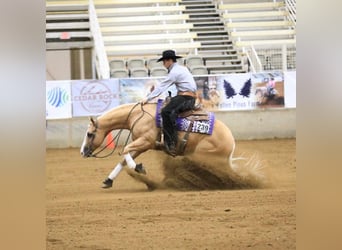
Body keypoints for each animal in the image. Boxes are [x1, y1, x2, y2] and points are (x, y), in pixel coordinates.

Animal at [79, 100, 264, 188]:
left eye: (89, 134)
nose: (82, 152)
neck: (138, 115)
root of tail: (230, 142)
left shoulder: (145, 141)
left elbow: (125, 151)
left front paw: (139, 168)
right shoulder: (142, 145)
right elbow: (124, 158)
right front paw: (108, 180)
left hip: (202, 156)